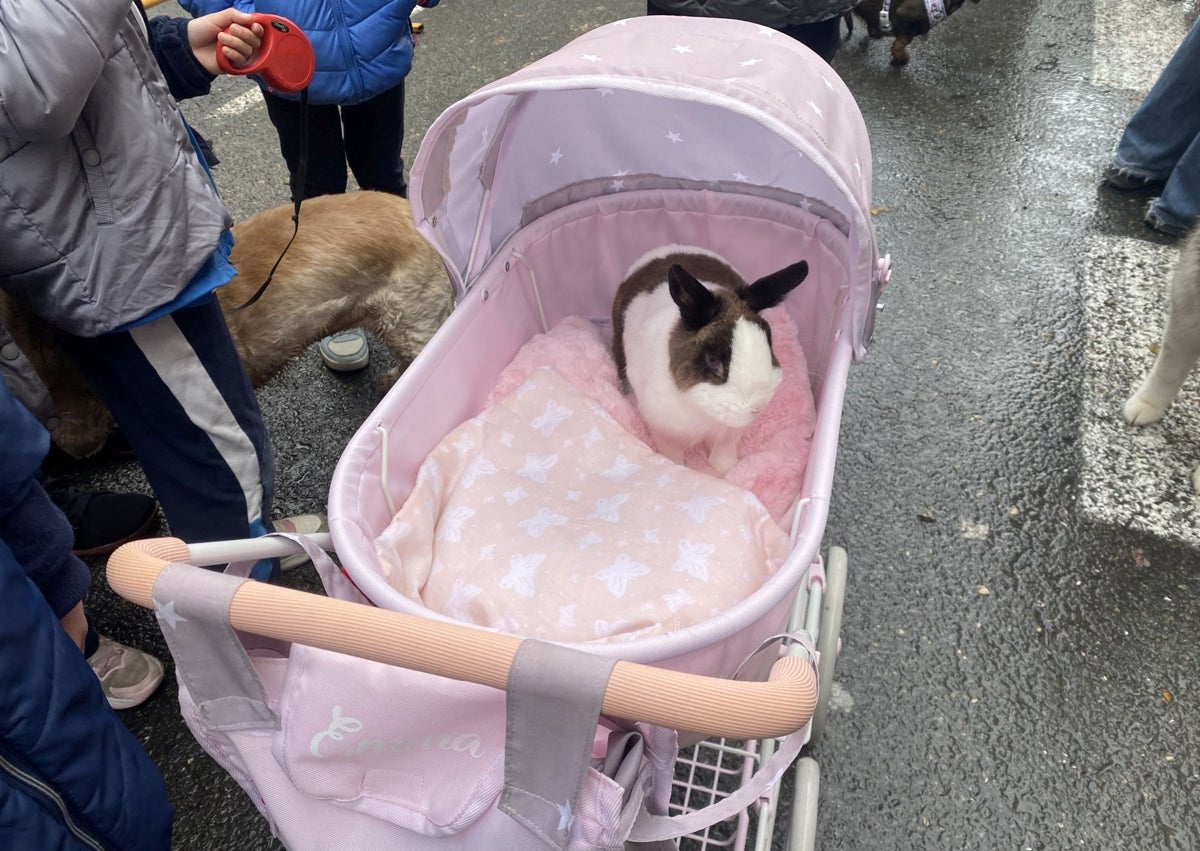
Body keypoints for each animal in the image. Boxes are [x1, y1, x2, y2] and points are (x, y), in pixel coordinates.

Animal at [614, 242, 811, 475]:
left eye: (769, 341)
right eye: (712, 360)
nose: (757, 407)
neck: (704, 414)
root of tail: (664, 249)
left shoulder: (728, 433)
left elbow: (723, 452)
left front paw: (726, 470)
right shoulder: (664, 430)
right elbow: (672, 453)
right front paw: (676, 468)